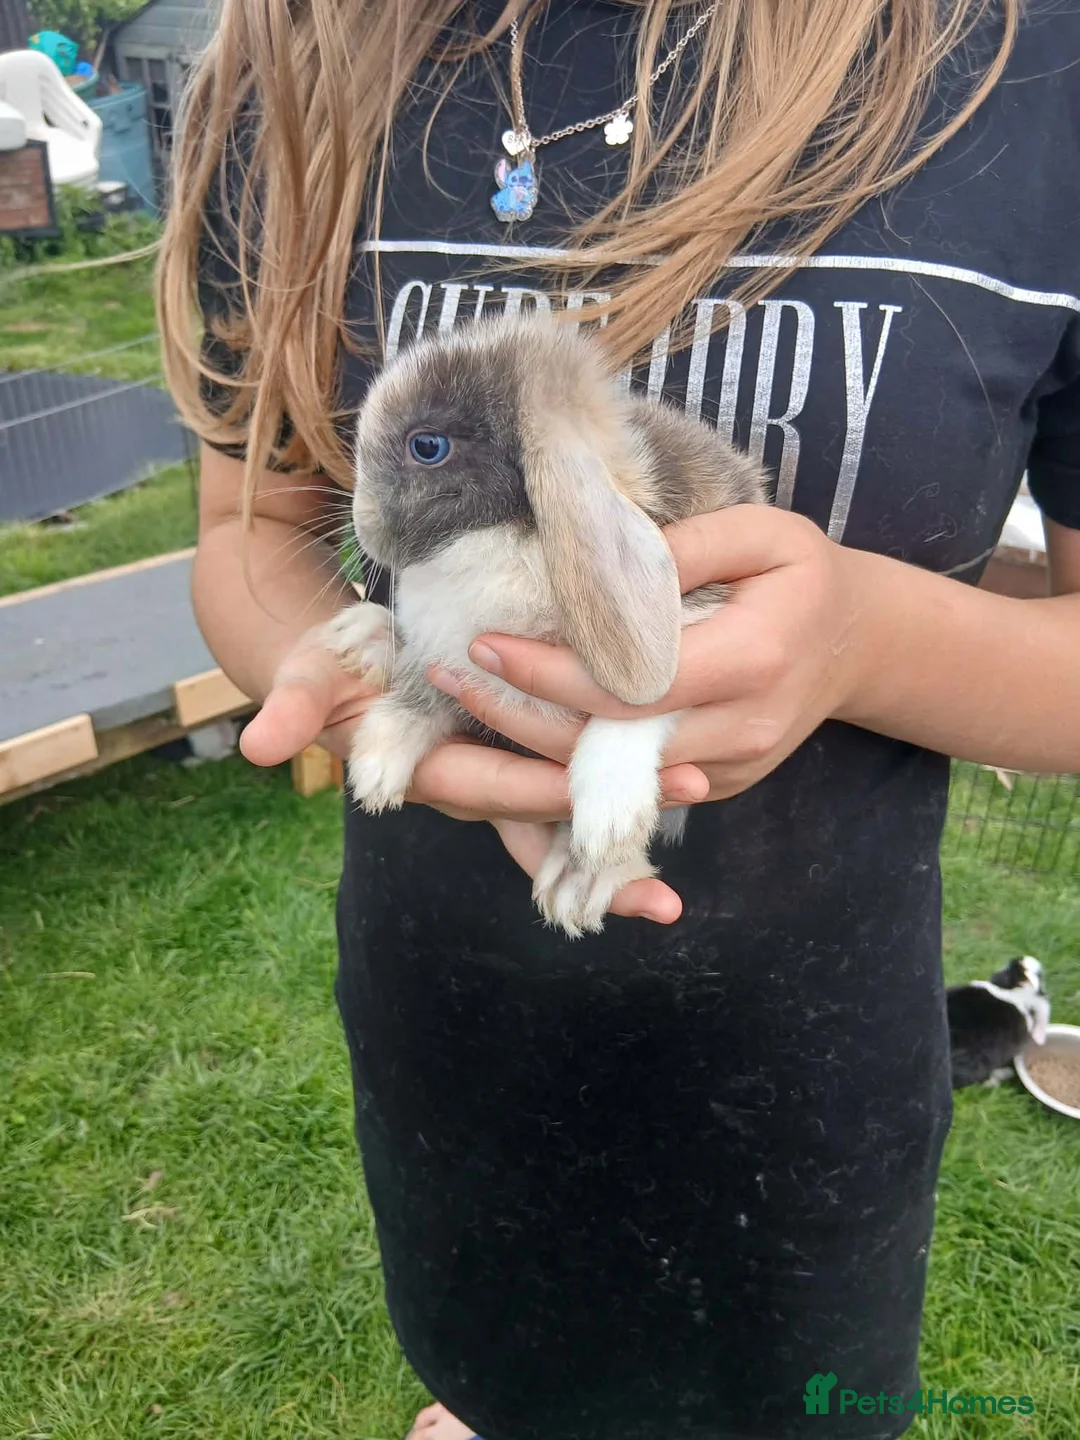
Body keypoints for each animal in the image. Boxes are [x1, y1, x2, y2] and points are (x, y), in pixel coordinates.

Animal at [322, 314, 768, 938]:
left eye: (427, 446)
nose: (365, 530)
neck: (503, 537)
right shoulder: (446, 651)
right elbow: (424, 683)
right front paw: (378, 765)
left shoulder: (707, 613)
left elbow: (640, 707)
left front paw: (603, 831)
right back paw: (362, 635)